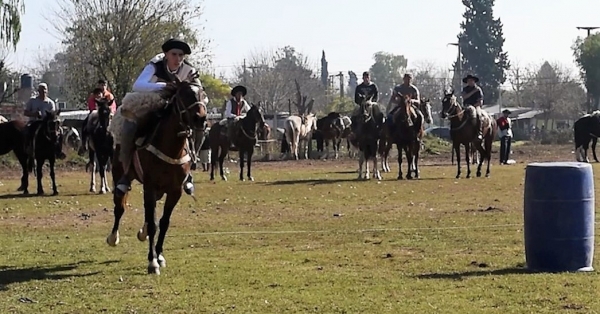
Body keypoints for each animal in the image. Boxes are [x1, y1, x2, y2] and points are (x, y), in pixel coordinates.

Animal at [107, 79, 209, 276]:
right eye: (184, 95)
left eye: (202, 93)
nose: (201, 118)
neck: (171, 147)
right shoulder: (150, 187)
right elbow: (154, 223)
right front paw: (152, 261)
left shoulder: (174, 191)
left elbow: (164, 222)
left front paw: (159, 256)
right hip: (120, 176)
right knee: (120, 206)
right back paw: (113, 237)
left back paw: (143, 232)